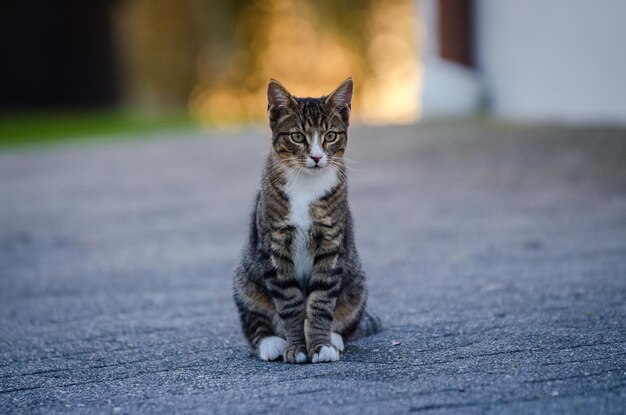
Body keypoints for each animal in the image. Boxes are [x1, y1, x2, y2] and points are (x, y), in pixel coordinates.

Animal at [232, 78, 378, 364]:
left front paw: (320, 346)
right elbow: (290, 304)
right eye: (297, 136)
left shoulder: (331, 244)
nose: (317, 157)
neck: (306, 186)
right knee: (254, 322)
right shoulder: (274, 246)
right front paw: (298, 348)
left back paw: (334, 337)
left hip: (357, 281)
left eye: (330, 136)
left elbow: (321, 301)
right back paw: (271, 342)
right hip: (245, 278)